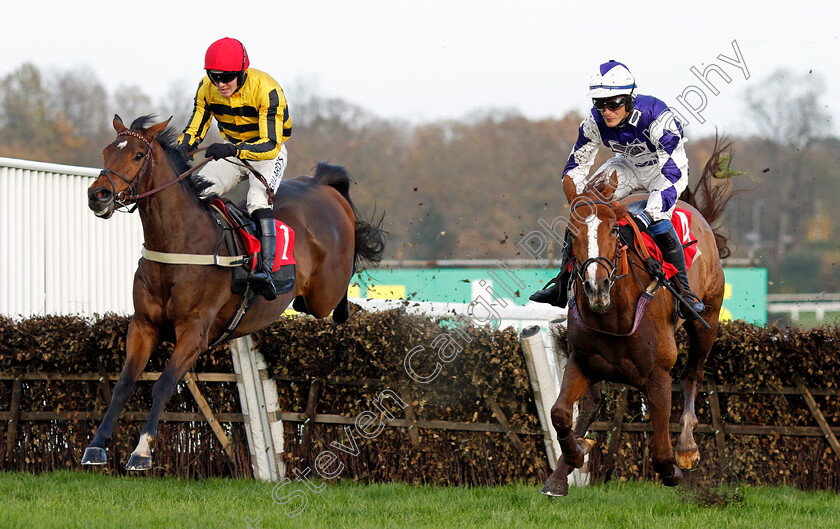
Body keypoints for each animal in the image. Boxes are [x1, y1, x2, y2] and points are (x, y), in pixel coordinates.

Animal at [82, 115, 384, 470]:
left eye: (139, 155)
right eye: (106, 151)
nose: (98, 195)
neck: (178, 241)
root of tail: (320, 183)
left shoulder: (194, 333)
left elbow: (163, 385)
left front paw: (142, 451)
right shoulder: (143, 325)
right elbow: (124, 384)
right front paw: (96, 446)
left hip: (323, 292)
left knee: (337, 298)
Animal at [544, 141, 736, 496]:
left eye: (613, 229)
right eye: (571, 233)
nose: (596, 286)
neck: (613, 317)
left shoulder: (658, 374)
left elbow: (660, 451)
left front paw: (673, 469)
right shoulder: (581, 361)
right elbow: (561, 413)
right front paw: (572, 459)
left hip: (708, 320)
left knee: (692, 375)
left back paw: (687, 447)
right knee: (590, 406)